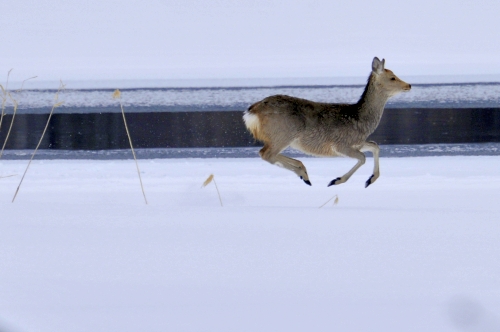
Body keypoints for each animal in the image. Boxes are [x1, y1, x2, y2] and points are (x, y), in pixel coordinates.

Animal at [242, 56, 410, 187]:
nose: (408, 85)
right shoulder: (341, 144)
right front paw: (336, 180)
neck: (361, 121)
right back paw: (303, 173)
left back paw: (303, 173)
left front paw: (370, 180)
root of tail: (251, 112)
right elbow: (362, 157)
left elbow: (375, 146)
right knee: (266, 154)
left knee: (267, 154)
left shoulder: (357, 142)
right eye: (392, 77)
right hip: (282, 133)